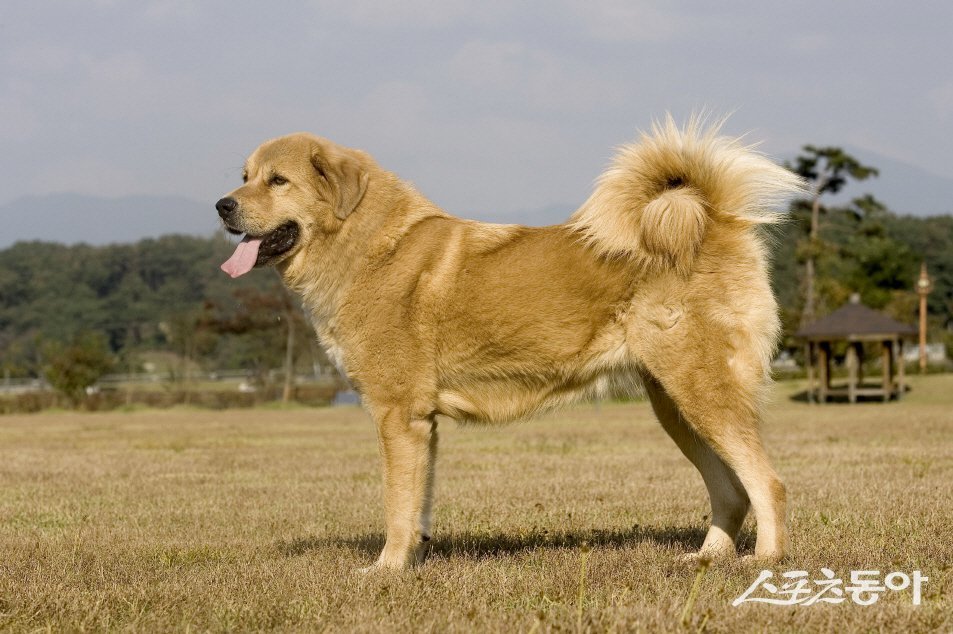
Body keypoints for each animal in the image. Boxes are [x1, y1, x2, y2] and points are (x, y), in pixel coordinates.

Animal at [216, 117, 804, 568]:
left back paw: (764, 562)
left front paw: (386, 569)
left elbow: (396, 506)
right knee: (732, 491)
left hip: (701, 393)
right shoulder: (421, 424)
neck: (367, 245)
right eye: (245, 177)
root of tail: (713, 218)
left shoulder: (397, 415)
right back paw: (706, 558)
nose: (222, 205)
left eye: (277, 180)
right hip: (675, 406)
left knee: (768, 484)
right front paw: (414, 561)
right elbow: (417, 505)